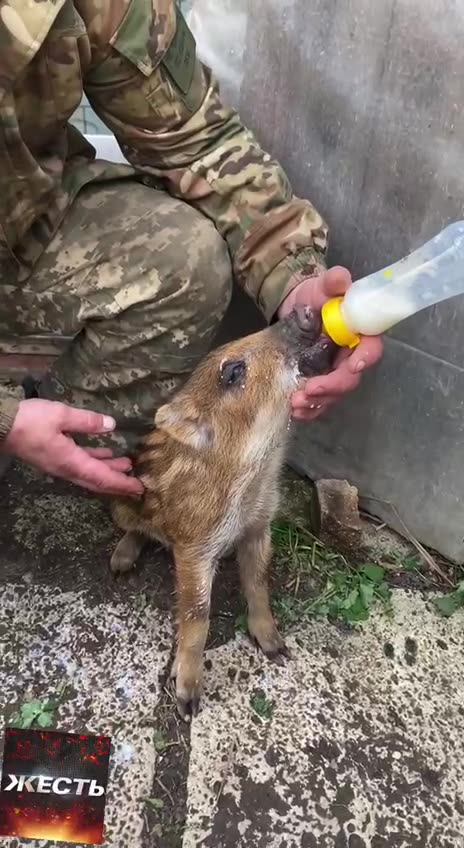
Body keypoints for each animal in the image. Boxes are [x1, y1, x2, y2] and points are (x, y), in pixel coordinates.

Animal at [110, 307, 336, 720]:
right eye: (232, 373)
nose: (305, 309)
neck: (254, 474)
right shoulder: (194, 548)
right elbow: (197, 616)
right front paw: (187, 702)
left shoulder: (259, 528)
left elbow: (259, 583)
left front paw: (276, 648)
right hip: (120, 505)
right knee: (135, 530)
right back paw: (121, 563)